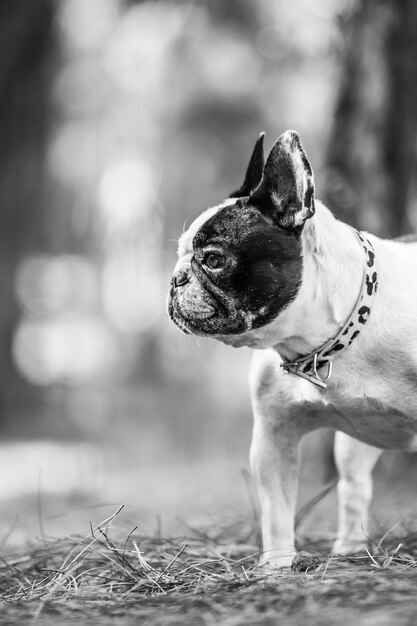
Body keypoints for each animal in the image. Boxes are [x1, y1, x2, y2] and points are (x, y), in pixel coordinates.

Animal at [166, 129, 416, 568]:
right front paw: (276, 567)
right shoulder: (274, 438)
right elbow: (277, 511)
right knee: (355, 488)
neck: (323, 346)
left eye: (212, 259)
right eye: (179, 253)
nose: (176, 278)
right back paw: (349, 548)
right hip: (355, 443)